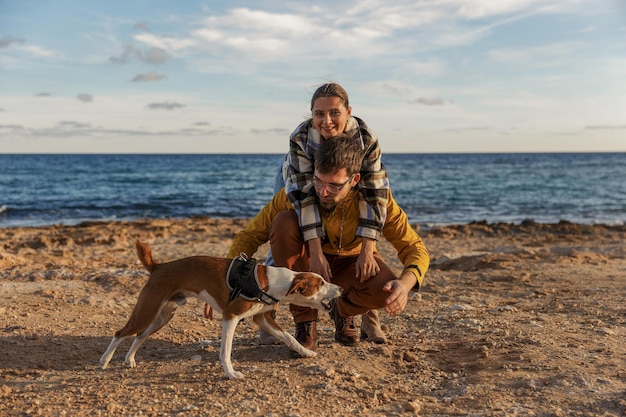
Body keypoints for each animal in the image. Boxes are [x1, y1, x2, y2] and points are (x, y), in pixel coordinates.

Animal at [100, 239, 342, 378]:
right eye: (321, 283)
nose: (340, 288)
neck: (269, 282)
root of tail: (158, 266)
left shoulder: (262, 319)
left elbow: (288, 337)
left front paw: (306, 351)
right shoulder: (230, 316)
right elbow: (225, 351)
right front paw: (231, 373)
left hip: (161, 317)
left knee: (139, 335)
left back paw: (129, 360)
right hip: (147, 310)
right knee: (120, 333)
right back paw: (105, 360)